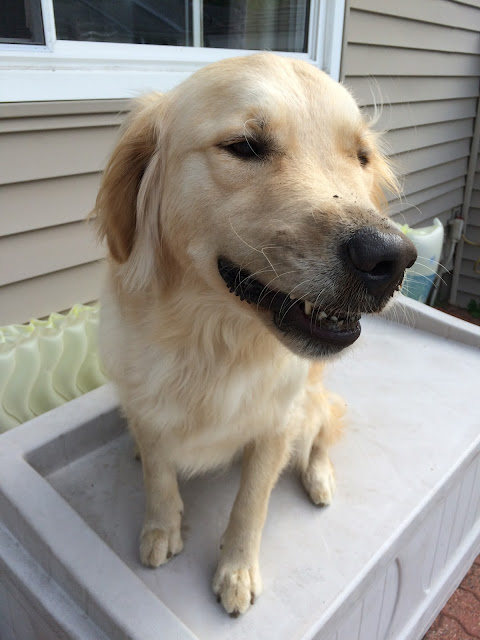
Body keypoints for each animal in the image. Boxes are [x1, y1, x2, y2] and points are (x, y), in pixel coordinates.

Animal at [94, 53, 416, 616]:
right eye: (245, 146)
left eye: (361, 157)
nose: (391, 258)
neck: (212, 343)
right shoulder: (145, 406)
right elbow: (158, 472)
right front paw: (161, 526)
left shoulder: (277, 424)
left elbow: (251, 505)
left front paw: (236, 570)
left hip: (313, 406)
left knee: (320, 438)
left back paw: (319, 477)